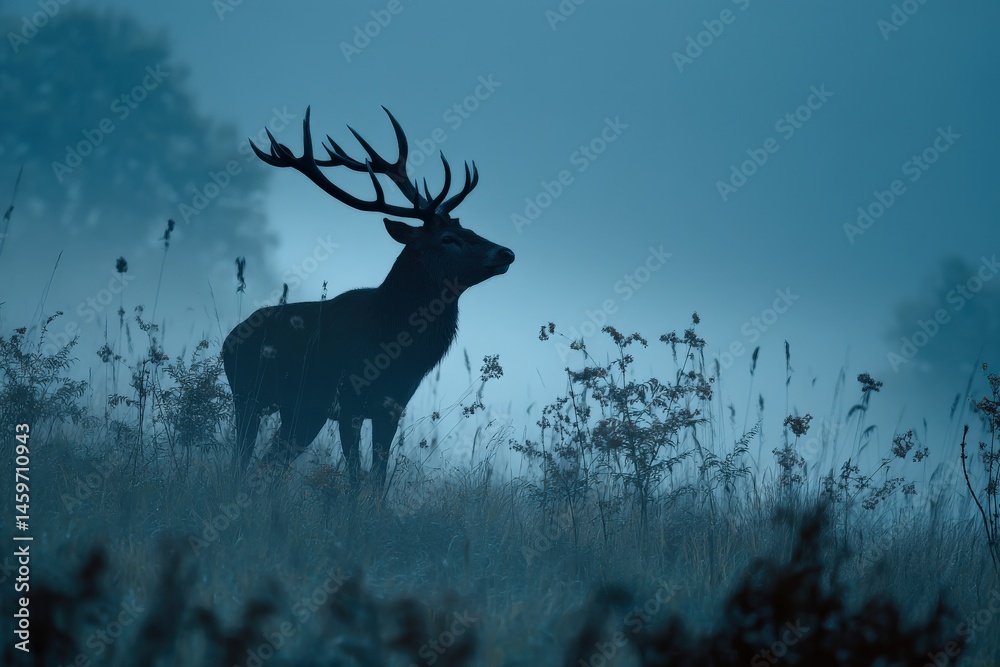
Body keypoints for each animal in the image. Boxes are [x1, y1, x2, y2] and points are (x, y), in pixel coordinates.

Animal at [222, 107, 514, 490]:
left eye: (469, 228)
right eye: (449, 238)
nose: (506, 252)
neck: (393, 343)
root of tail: (227, 340)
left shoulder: (392, 406)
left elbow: (377, 481)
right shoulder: (349, 401)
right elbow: (355, 478)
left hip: (300, 410)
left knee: (268, 459)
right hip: (248, 395)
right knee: (242, 459)